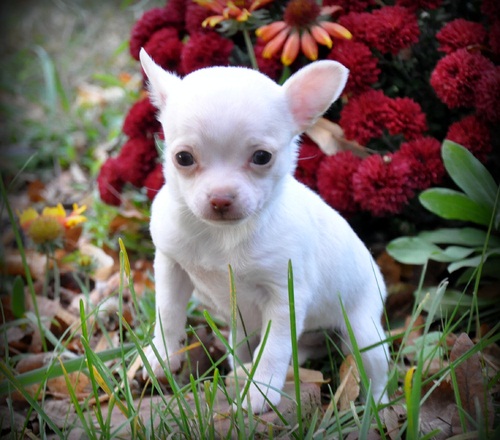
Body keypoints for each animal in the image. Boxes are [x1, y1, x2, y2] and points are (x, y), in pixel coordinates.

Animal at [141, 49, 390, 414]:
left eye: (262, 157)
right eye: (183, 158)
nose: (221, 197)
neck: (222, 237)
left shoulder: (285, 295)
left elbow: (275, 346)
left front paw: (261, 391)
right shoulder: (171, 266)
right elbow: (168, 312)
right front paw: (162, 354)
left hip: (364, 332)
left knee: (375, 371)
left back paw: (377, 406)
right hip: (244, 329)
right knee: (247, 349)